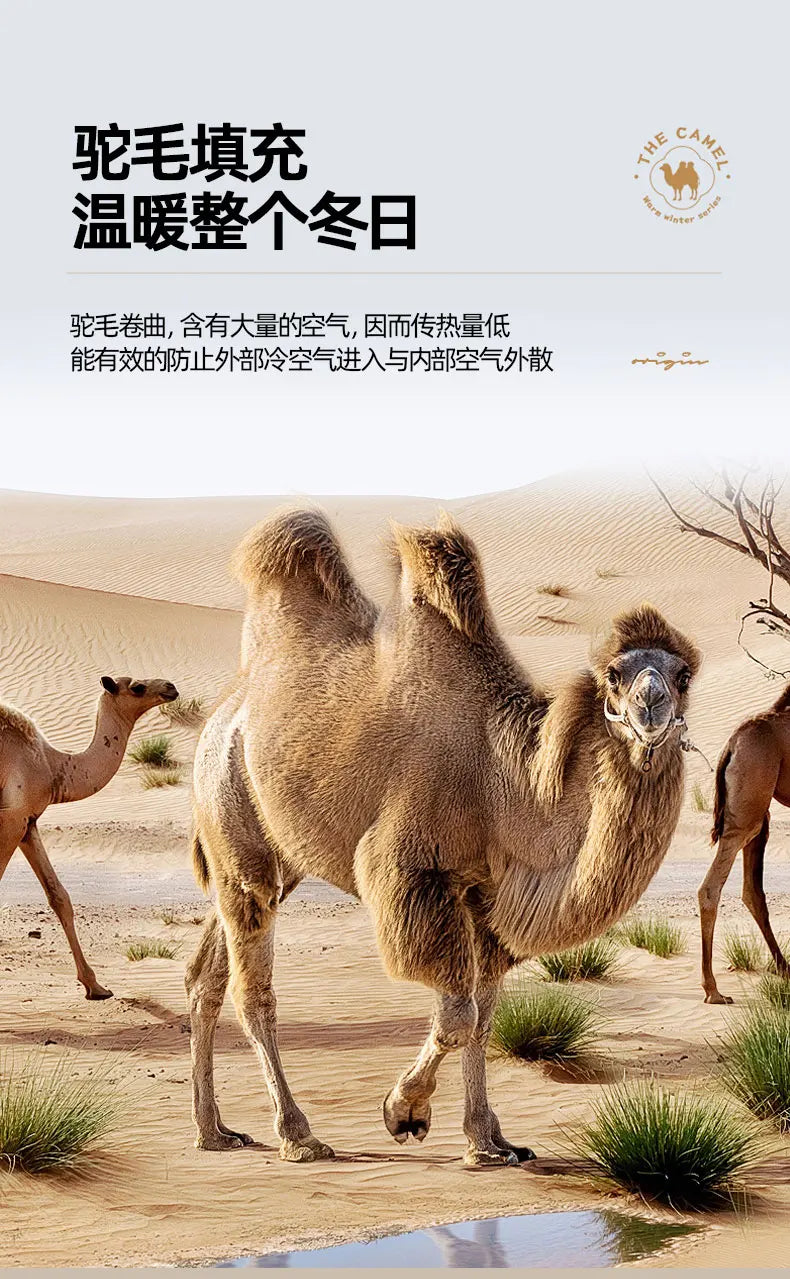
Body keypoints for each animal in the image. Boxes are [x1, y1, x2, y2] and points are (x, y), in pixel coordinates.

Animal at [0, 675, 179, 999]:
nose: (170, 687)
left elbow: (59, 896)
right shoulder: (11, 819)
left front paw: (95, 986)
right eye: (136, 687)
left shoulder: (27, 823)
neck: (53, 766)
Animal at [187, 510, 700, 1166]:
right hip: (232, 822)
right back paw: (297, 1135)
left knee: (206, 976)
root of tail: (226, 709)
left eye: (682, 674)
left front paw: (489, 1140)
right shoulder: (414, 874)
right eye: (615, 674)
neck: (505, 781)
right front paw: (403, 1113)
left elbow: (482, 1018)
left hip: (274, 856)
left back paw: (214, 1130)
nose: (651, 702)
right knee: (254, 993)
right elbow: (456, 1014)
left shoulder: (486, 898)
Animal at [698, 684, 790, 1003]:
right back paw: (713, 990)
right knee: (711, 888)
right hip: (747, 812)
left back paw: (784, 967)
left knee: (752, 891)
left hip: (758, 813)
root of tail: (731, 745)